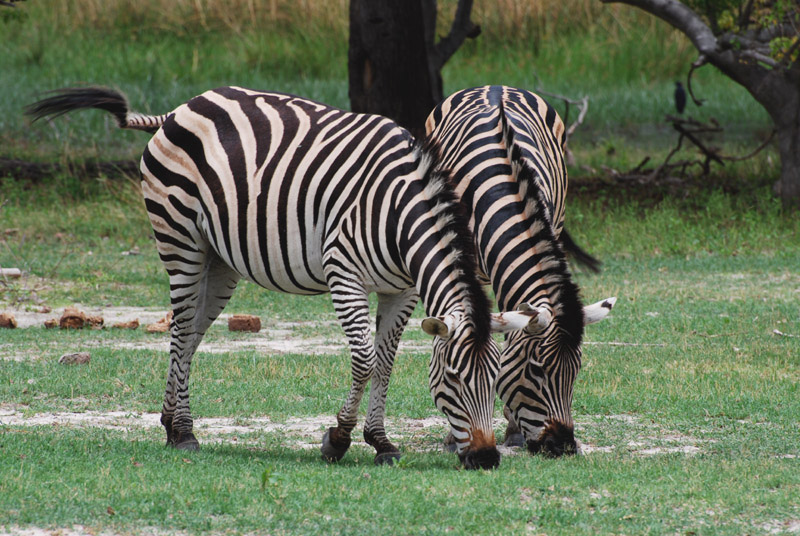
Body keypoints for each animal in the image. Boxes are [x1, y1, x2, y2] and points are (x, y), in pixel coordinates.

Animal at [26, 85, 536, 468]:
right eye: (452, 378)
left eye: (496, 379)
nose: (487, 459)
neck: (401, 215)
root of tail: (181, 109)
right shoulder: (344, 272)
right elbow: (365, 360)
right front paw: (338, 439)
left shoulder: (402, 289)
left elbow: (387, 363)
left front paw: (382, 442)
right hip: (179, 239)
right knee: (180, 329)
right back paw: (185, 433)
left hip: (220, 261)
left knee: (189, 335)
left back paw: (173, 425)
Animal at [424, 86, 620, 454]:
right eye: (536, 370)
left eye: (577, 370)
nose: (564, 446)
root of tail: (493, 86)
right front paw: (454, 433)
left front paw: (512, 428)